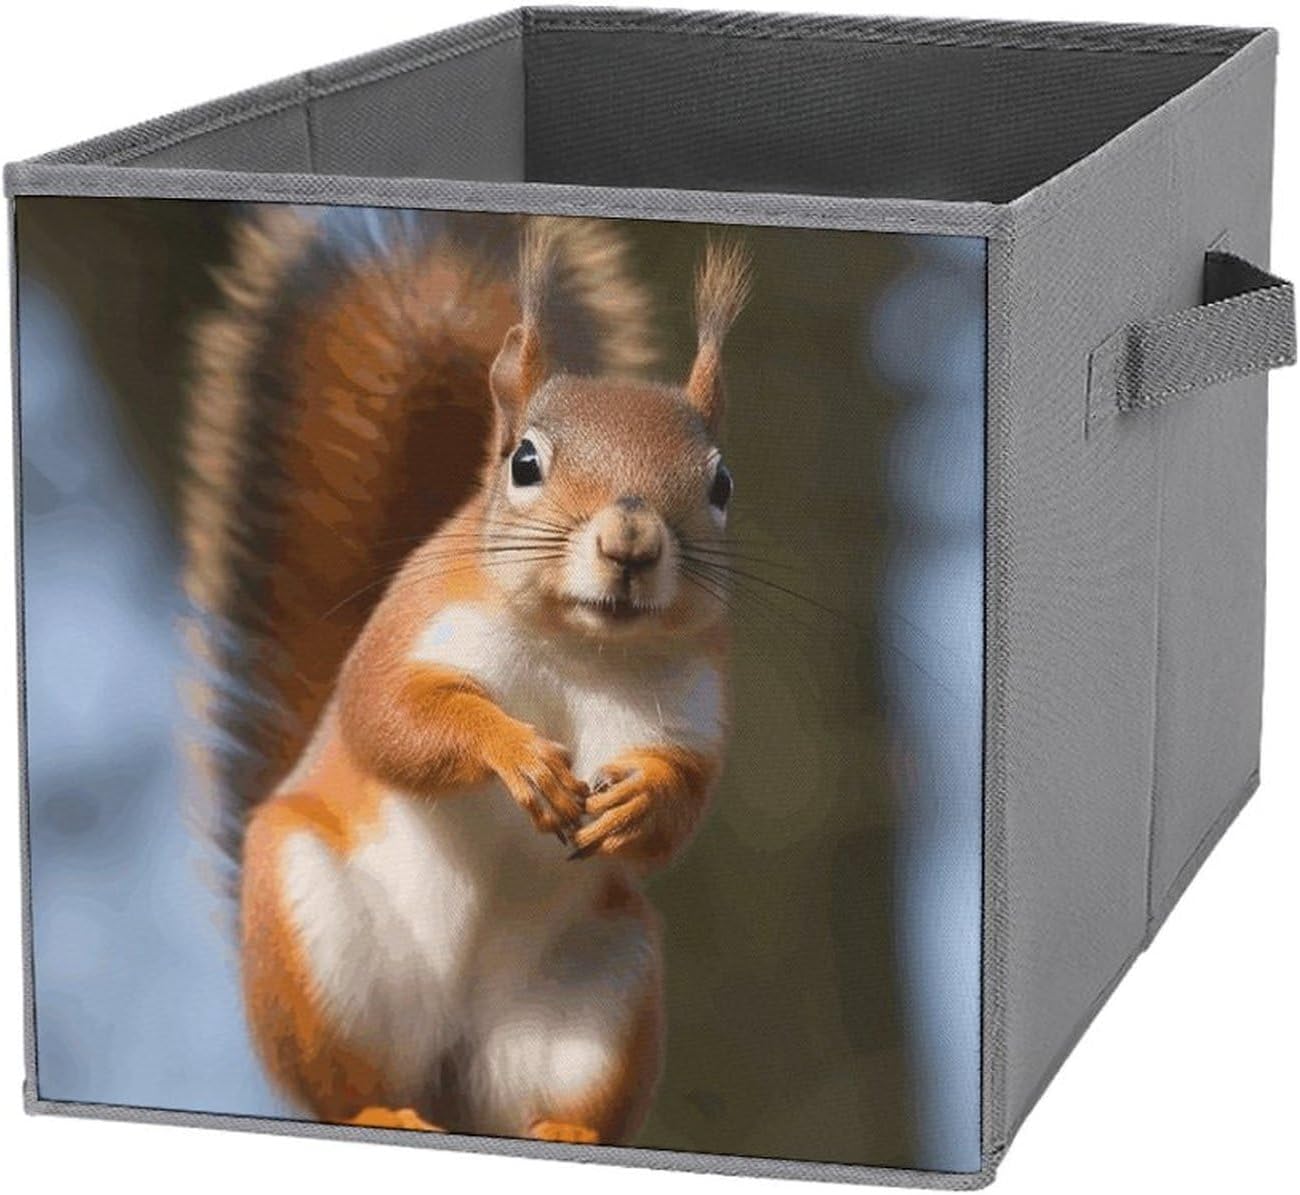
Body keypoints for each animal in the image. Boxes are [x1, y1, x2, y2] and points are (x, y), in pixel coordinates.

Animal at [182, 207, 749, 1144]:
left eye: (723, 482)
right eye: (525, 463)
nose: (631, 543)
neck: (578, 645)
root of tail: (446, 1068)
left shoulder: (696, 702)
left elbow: (687, 804)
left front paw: (642, 797)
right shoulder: (411, 629)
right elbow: (389, 719)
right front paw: (515, 753)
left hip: (598, 989)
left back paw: (565, 1129)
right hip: (319, 941)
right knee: (345, 1085)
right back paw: (383, 1110)